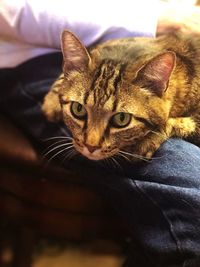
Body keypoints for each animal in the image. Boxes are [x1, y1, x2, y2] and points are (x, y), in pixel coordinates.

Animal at [41, 30, 200, 162]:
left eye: (122, 118)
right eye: (78, 109)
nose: (90, 147)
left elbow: (178, 123)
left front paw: (145, 142)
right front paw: (52, 101)